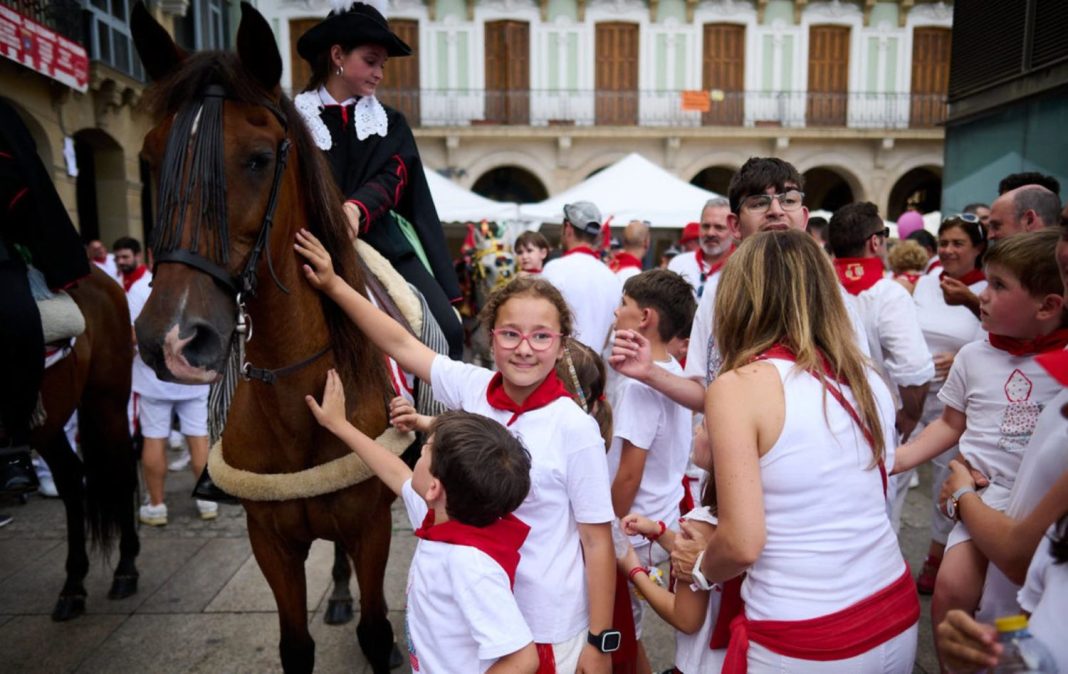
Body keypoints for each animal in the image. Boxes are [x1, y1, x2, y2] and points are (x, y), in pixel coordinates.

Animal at [33, 268, 140, 623]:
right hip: (49, 420)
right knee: (70, 476)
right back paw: (73, 586)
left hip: (105, 400)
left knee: (121, 471)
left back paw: (124, 569)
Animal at [131, 2, 399, 670]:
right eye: (150, 156)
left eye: (257, 158)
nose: (171, 339)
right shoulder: (269, 540)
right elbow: (294, 645)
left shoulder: (372, 526)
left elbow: (377, 631)